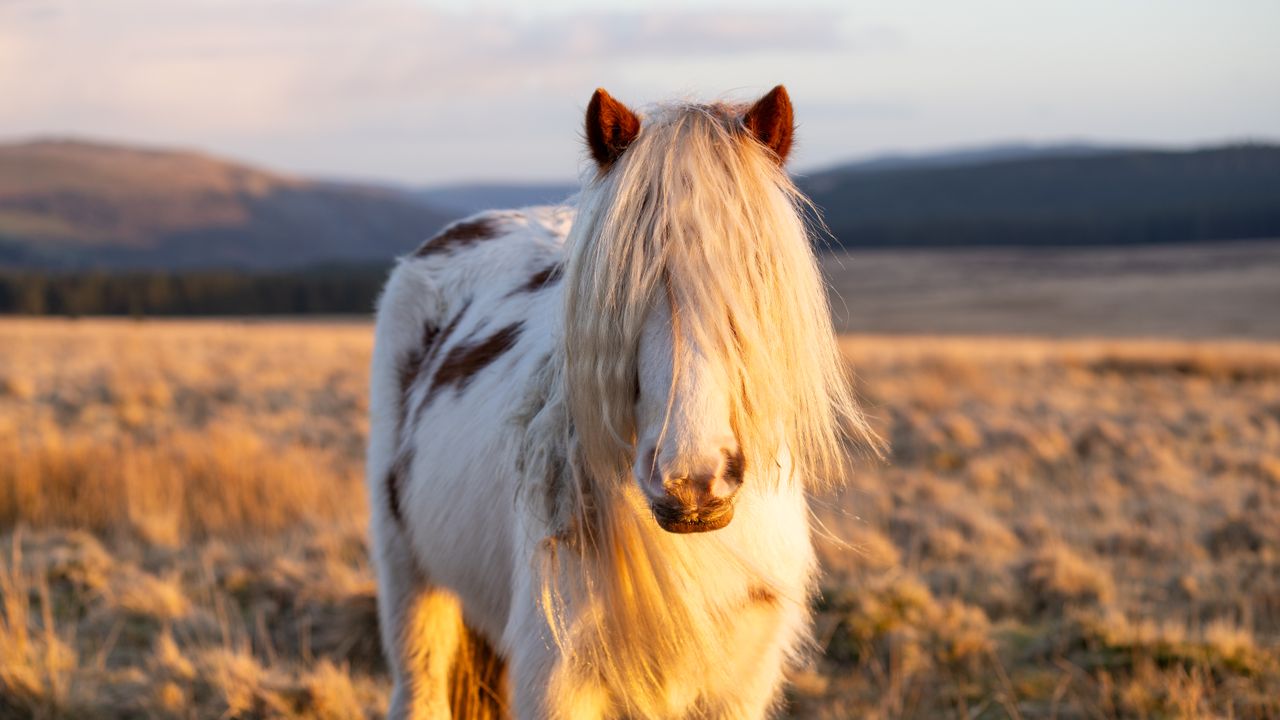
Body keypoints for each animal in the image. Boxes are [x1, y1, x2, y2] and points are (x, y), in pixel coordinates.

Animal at [367, 85, 877, 719]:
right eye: (616, 298)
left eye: (755, 277)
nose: (692, 484)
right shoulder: (555, 680)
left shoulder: (740, 684)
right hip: (410, 585)